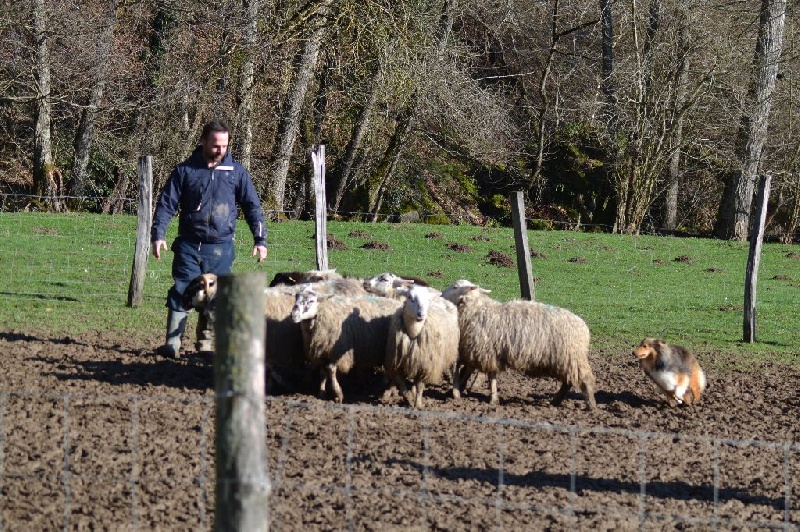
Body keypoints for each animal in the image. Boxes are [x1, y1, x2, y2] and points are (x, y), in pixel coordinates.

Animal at [440, 280, 596, 410]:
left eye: (455, 287)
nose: (441, 295)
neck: (475, 310)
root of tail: (584, 328)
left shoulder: (486, 351)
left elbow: (489, 376)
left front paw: (492, 398)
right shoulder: (479, 351)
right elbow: (470, 371)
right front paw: (460, 389)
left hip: (572, 357)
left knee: (584, 380)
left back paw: (591, 405)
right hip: (565, 360)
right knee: (568, 381)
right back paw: (555, 401)